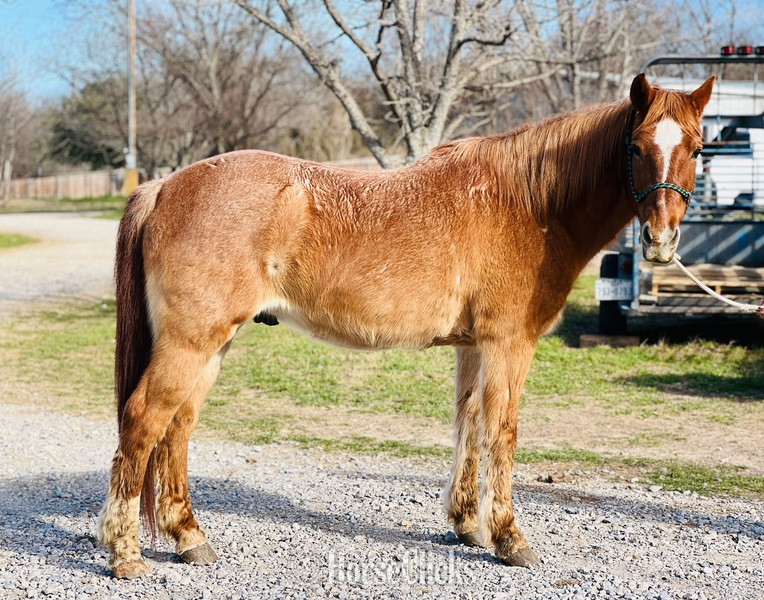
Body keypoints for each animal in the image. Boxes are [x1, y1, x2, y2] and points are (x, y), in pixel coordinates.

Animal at [98, 73, 714, 578]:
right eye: (635, 147)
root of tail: (165, 186)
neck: (530, 204)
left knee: (177, 428)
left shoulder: (474, 347)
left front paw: (467, 525)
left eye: (696, 147)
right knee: (143, 422)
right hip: (191, 342)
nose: (660, 240)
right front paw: (510, 539)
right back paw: (125, 553)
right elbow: (502, 432)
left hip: (212, 345)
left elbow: (468, 422)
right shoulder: (508, 344)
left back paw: (189, 538)